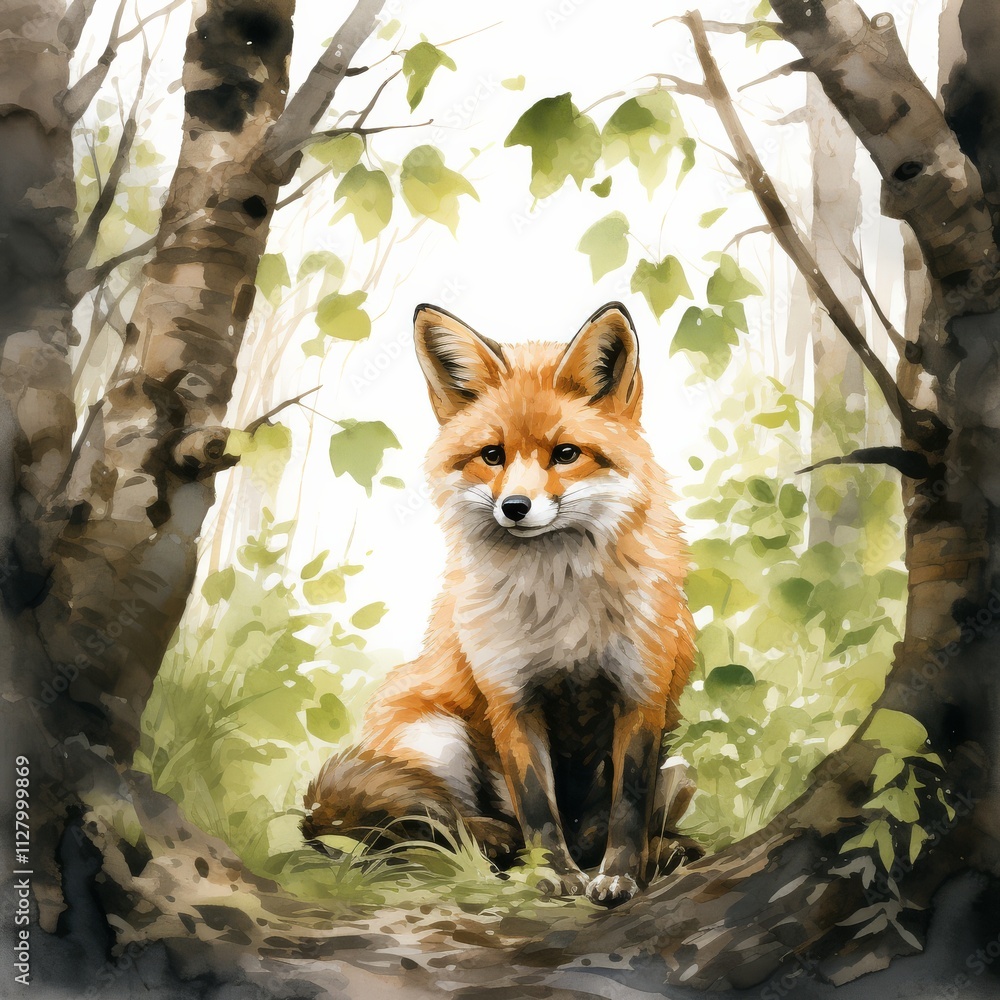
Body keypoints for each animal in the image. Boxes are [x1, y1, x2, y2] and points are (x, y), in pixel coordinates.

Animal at [303, 301, 698, 908]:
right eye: (493, 455)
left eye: (565, 454)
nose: (514, 506)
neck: (560, 604)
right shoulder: (511, 696)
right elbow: (538, 809)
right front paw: (552, 874)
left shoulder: (640, 693)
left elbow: (626, 808)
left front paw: (620, 877)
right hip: (434, 737)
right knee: (442, 826)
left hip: (679, 770)